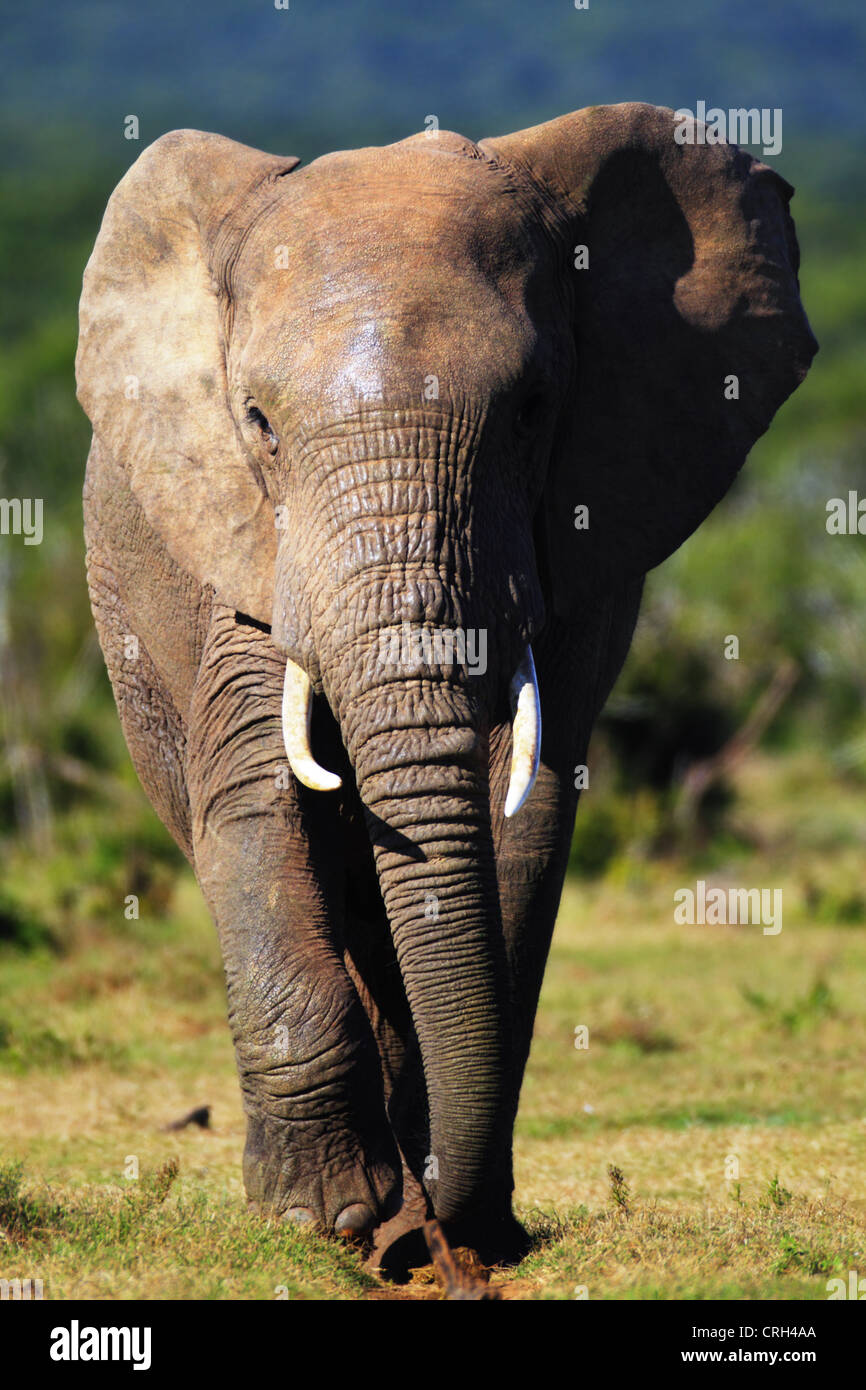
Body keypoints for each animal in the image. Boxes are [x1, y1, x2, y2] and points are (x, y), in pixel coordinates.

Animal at [74, 100, 811, 1273]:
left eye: (531, 411)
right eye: (258, 422)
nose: (420, 1221)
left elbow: (526, 806)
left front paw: (464, 1227)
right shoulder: (244, 547)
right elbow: (255, 798)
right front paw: (325, 1222)